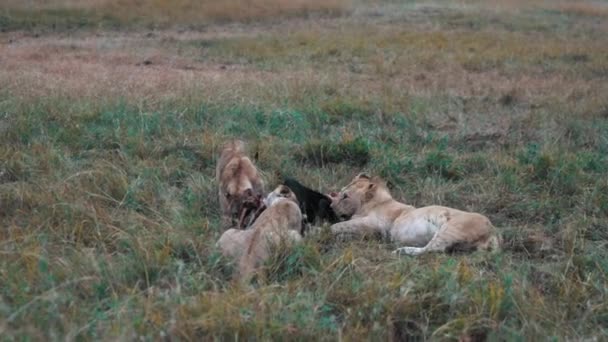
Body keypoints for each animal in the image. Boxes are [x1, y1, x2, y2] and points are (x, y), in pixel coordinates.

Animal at [330, 175, 502, 255]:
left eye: (345, 196)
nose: (331, 206)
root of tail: (494, 233)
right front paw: (343, 237)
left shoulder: (376, 226)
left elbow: (338, 225)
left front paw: (325, 230)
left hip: (450, 229)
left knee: (433, 249)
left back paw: (401, 251)